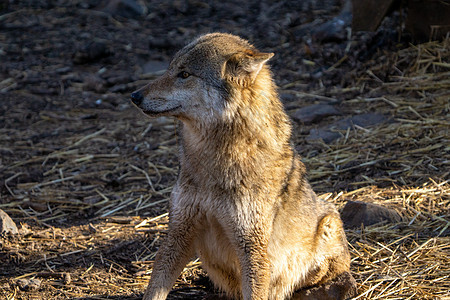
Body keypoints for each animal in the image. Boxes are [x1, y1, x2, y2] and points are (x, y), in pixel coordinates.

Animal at [131, 32, 358, 300]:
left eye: (184, 74)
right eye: (170, 69)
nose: (134, 96)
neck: (213, 163)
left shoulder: (252, 245)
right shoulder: (179, 231)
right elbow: (155, 287)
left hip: (328, 223)